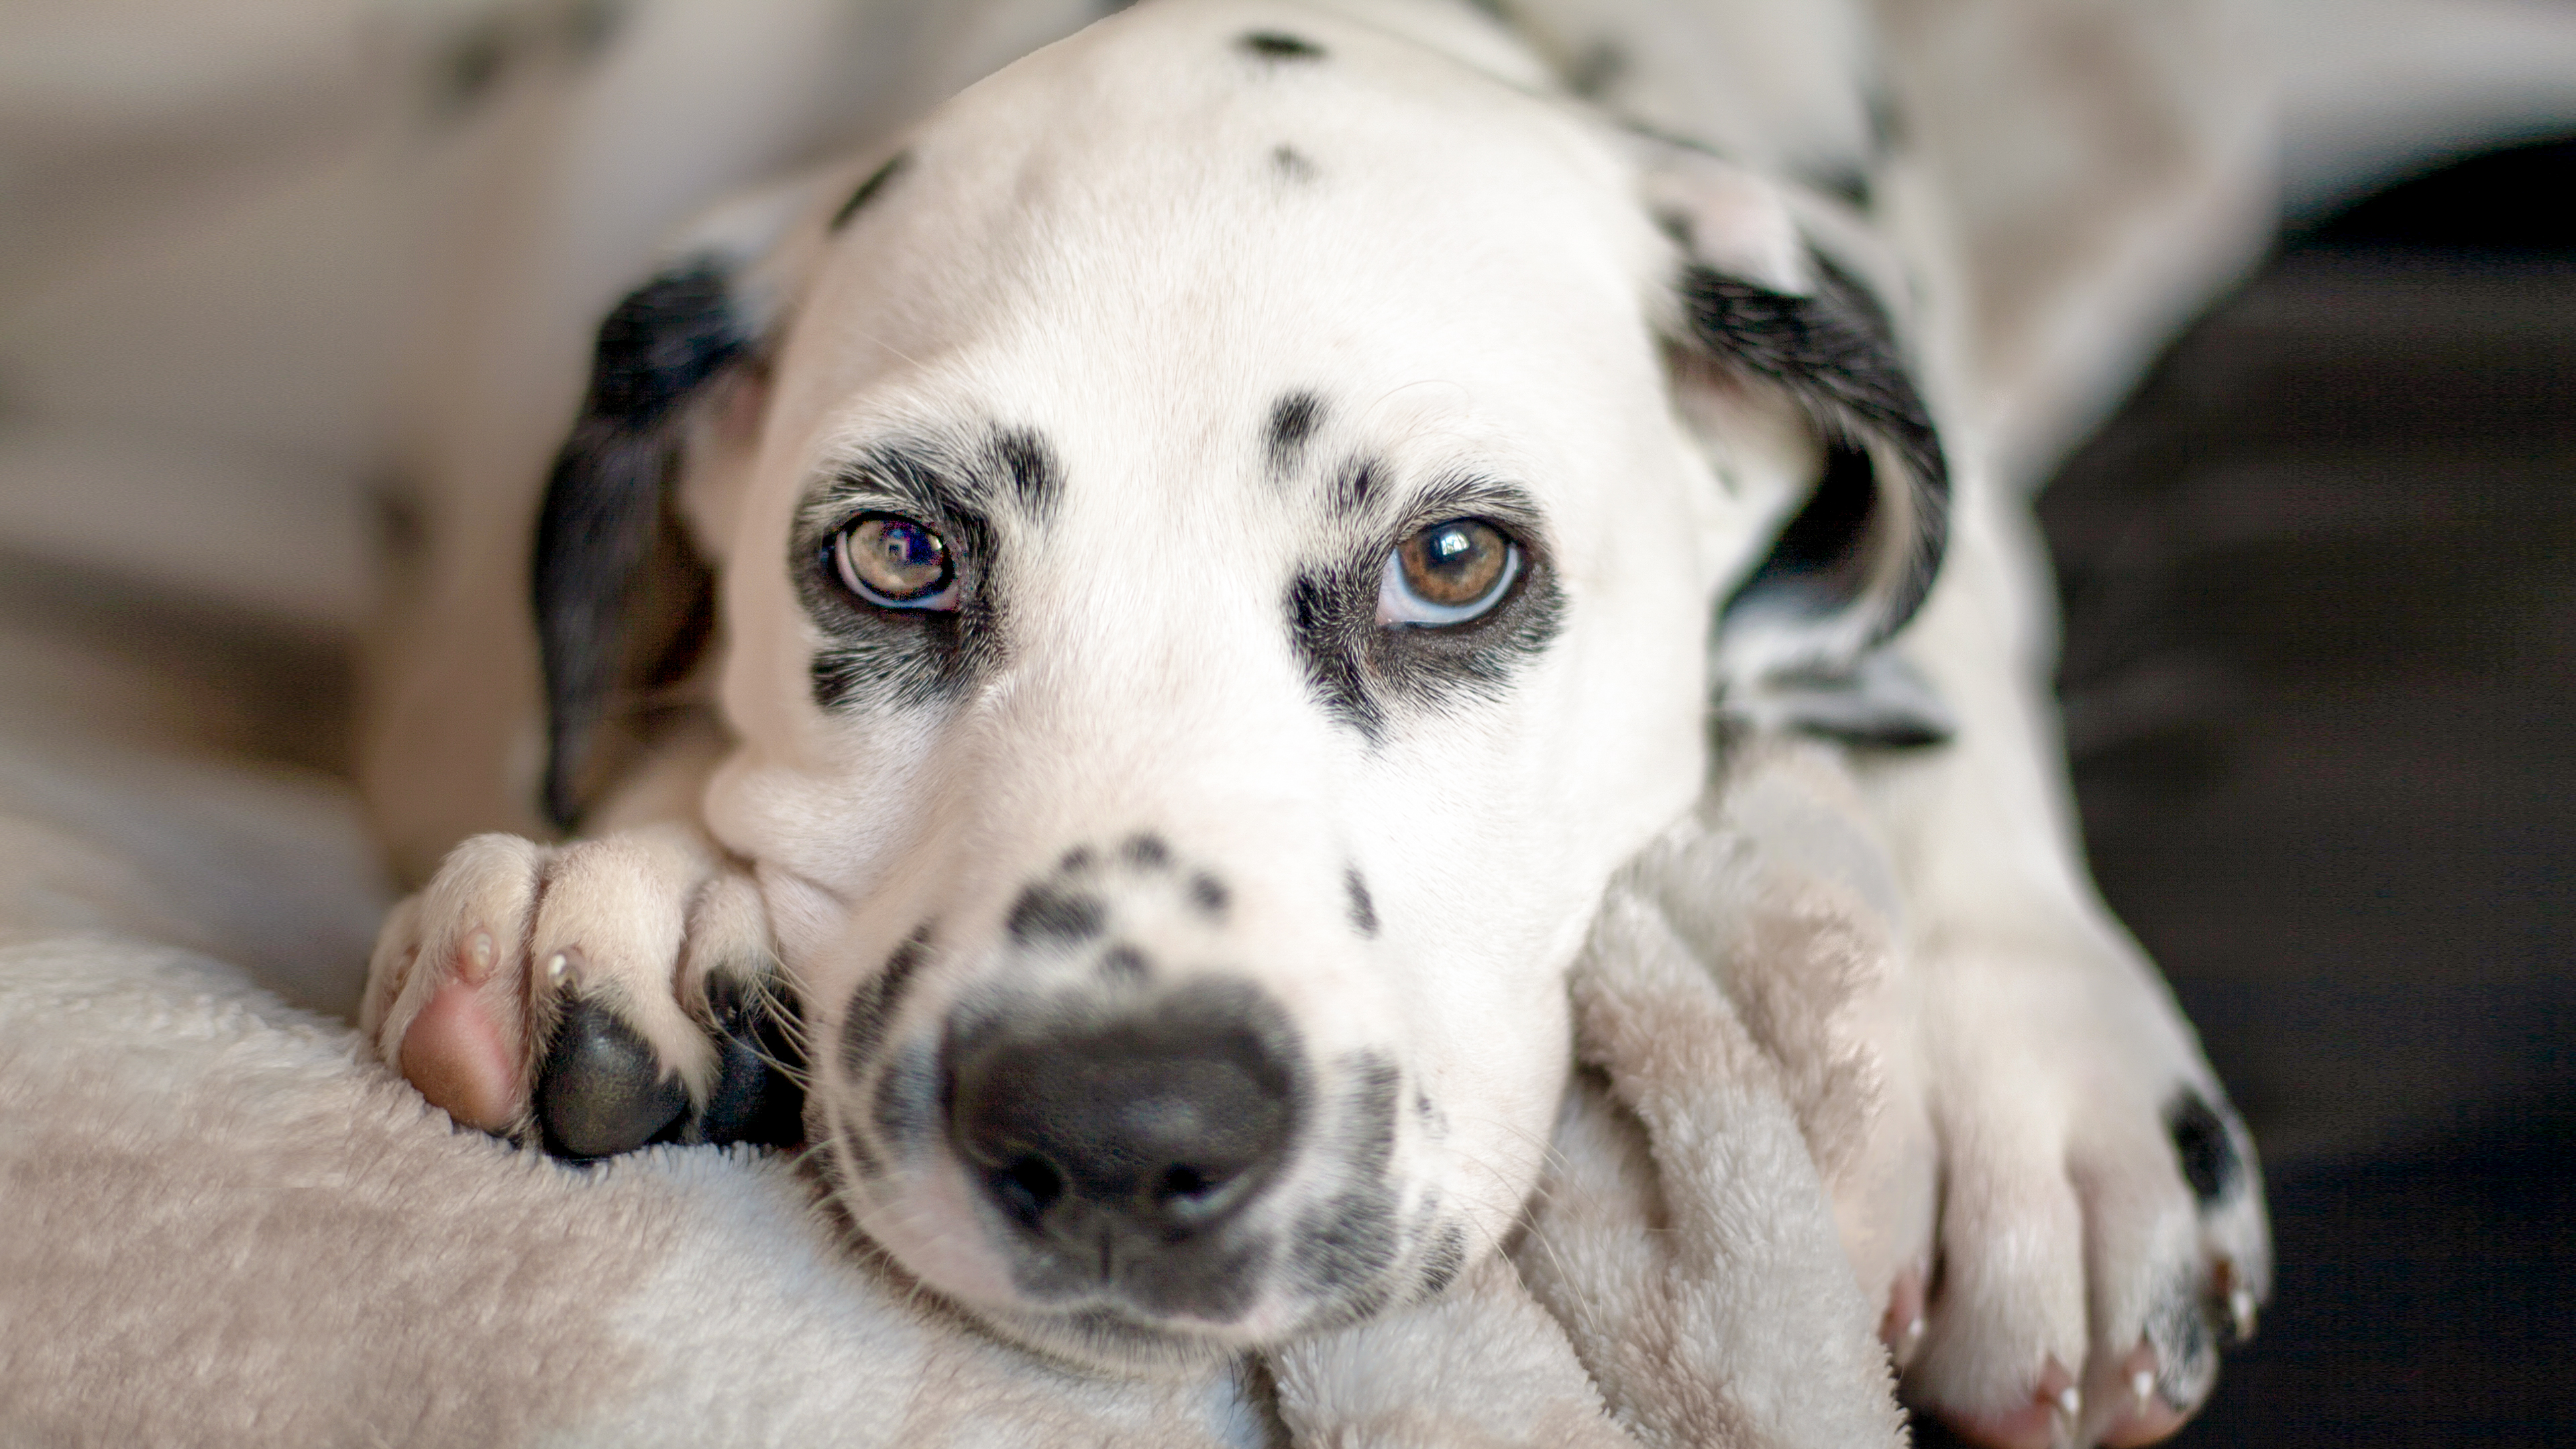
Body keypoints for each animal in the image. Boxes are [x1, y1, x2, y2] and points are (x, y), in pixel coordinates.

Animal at [368, 3, 2277, 1433]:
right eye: (895, 553)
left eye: (1455, 560)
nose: (1122, 1130)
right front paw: (640, 870)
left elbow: (1950, 635)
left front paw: (2035, 1061)